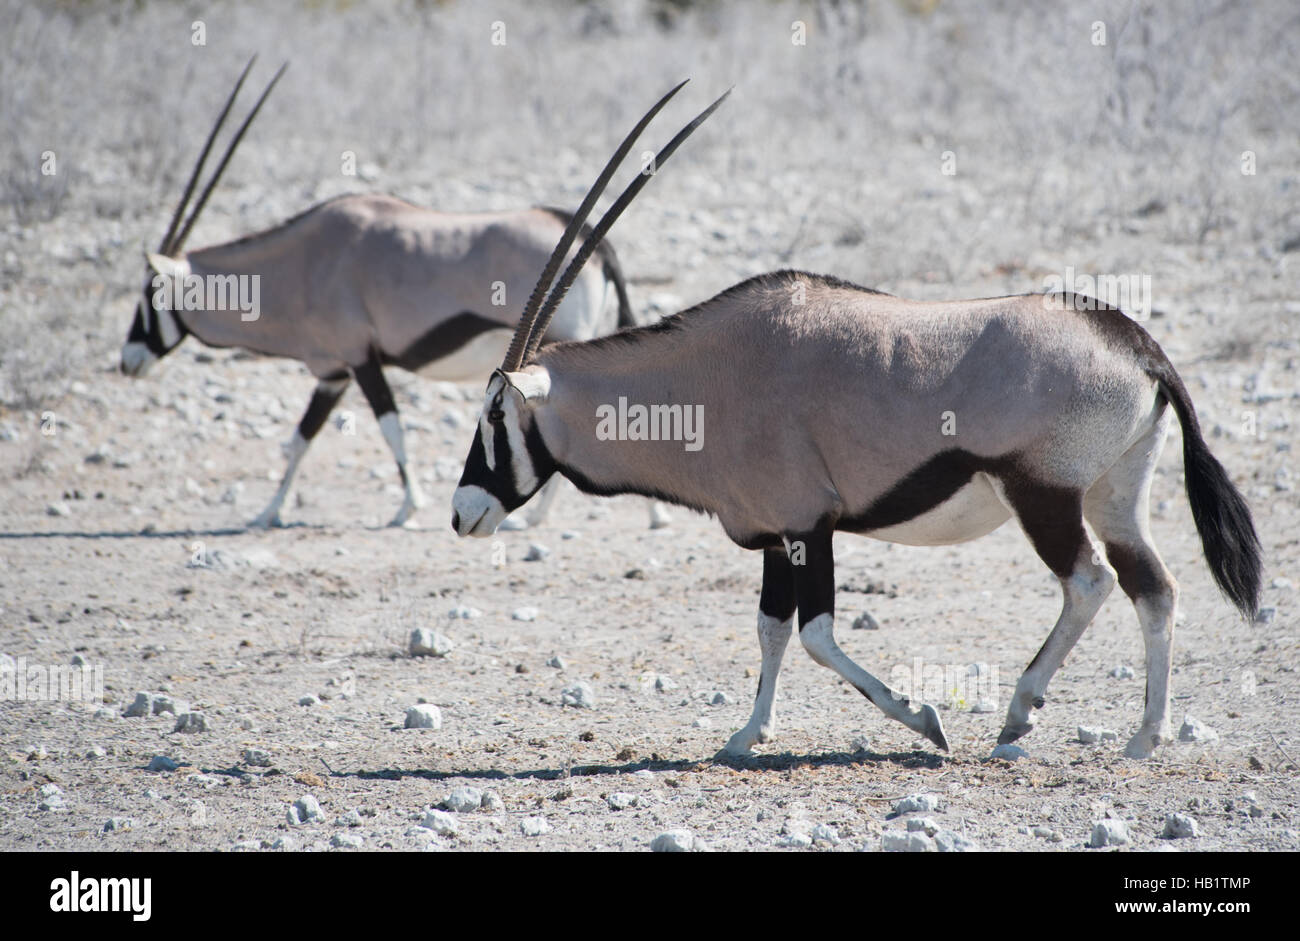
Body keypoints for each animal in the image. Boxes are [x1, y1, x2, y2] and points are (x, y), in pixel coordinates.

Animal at [120, 58, 670, 530]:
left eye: (149, 294)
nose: (127, 361)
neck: (303, 263)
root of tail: (591, 240)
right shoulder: (332, 374)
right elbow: (299, 439)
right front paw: (267, 512)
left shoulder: (361, 360)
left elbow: (390, 426)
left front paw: (408, 506)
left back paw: (552, 517)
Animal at [450, 82, 1262, 760]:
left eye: (495, 412)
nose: (461, 514)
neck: (712, 376)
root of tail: (1135, 342)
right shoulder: (777, 536)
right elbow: (772, 628)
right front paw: (746, 735)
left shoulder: (809, 525)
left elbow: (815, 633)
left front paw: (924, 719)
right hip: (1113, 493)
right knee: (1154, 586)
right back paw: (1142, 738)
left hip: (1045, 494)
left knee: (1089, 581)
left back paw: (1017, 715)